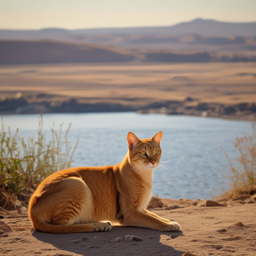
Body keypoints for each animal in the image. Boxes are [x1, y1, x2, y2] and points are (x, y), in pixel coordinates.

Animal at [28, 132, 180, 234]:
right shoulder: (130, 213)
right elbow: (154, 220)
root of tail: (31, 206)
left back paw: (101, 224)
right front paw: (169, 225)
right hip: (76, 183)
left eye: (157, 152)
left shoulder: (141, 209)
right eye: (143, 153)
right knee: (62, 225)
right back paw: (96, 226)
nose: (154, 162)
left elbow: (156, 216)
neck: (144, 175)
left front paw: (171, 221)